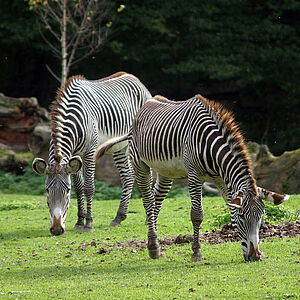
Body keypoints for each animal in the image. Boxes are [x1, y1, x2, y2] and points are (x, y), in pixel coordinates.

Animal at [31, 72, 151, 234]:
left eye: (67, 191)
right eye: (47, 190)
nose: (56, 229)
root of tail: (134, 78)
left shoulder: (89, 153)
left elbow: (89, 188)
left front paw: (88, 224)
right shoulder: (74, 157)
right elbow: (80, 188)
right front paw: (79, 221)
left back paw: (148, 215)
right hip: (119, 146)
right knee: (128, 175)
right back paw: (119, 217)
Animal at [95, 94, 290, 262]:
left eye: (261, 217)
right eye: (242, 218)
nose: (255, 256)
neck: (211, 147)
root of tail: (148, 102)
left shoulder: (222, 180)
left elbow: (229, 206)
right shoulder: (195, 176)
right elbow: (197, 215)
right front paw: (196, 253)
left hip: (166, 171)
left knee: (156, 201)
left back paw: (155, 247)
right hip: (139, 163)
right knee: (148, 202)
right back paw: (153, 247)